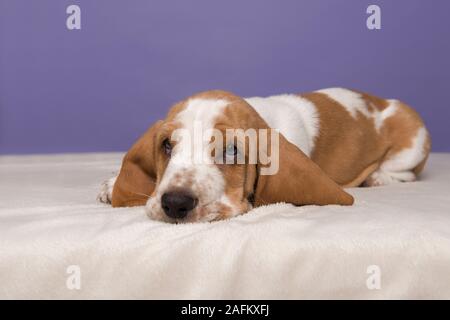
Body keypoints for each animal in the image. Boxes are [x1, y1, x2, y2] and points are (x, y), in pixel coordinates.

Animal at [97, 87, 428, 222]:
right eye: (167, 145)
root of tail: (382, 101)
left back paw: (377, 177)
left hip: (414, 143)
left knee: (406, 173)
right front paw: (111, 184)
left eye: (232, 150)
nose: (176, 203)